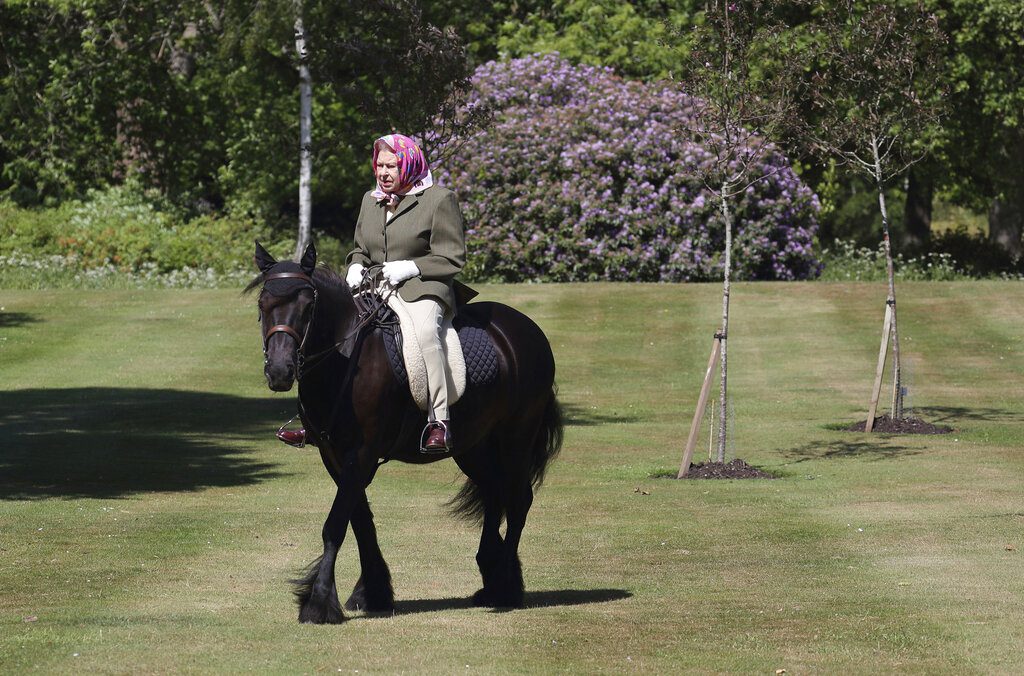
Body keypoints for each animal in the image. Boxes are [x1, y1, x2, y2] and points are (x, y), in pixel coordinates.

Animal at [250, 241, 565, 622]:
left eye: (308, 307)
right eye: (263, 306)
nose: (280, 372)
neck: (345, 357)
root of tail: (525, 329)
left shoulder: (362, 453)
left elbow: (336, 524)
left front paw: (319, 601)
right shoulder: (334, 455)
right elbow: (360, 520)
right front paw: (372, 592)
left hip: (516, 438)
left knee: (518, 500)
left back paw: (505, 587)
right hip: (473, 446)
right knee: (494, 492)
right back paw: (492, 579)